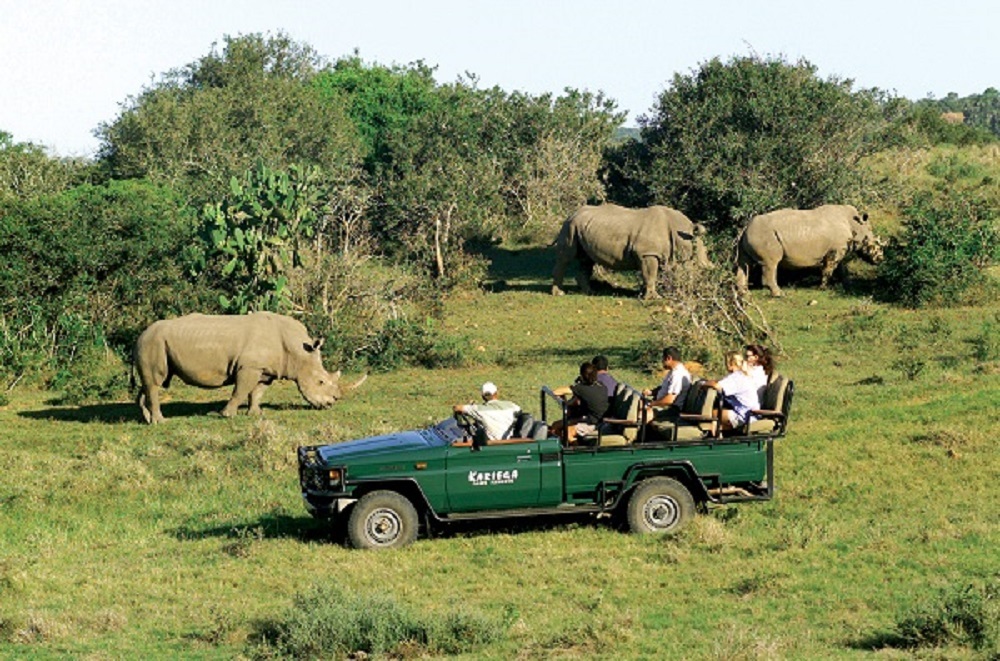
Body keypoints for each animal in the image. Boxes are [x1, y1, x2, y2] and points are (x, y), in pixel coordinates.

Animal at [133, 310, 364, 422]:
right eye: (321, 381)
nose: (331, 403)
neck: (298, 351)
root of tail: (140, 334)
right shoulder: (249, 367)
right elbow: (241, 391)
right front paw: (227, 415)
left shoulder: (265, 370)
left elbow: (257, 393)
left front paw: (255, 414)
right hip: (153, 342)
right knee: (156, 381)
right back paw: (161, 421)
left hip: (152, 342)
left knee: (148, 384)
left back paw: (148, 420)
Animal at [556, 202, 712, 300]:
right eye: (698, 268)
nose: (699, 293)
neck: (680, 234)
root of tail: (572, 213)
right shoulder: (648, 253)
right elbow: (651, 275)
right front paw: (654, 298)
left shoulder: (654, 255)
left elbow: (648, 275)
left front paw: (643, 294)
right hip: (570, 225)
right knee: (566, 257)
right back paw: (559, 293)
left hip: (583, 227)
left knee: (587, 260)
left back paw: (590, 292)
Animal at [736, 205, 884, 298]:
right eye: (872, 244)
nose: (880, 259)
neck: (855, 225)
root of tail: (746, 228)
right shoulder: (835, 250)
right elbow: (828, 269)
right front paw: (822, 288)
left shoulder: (839, 249)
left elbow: (842, 269)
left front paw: (849, 286)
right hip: (766, 236)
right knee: (771, 263)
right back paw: (779, 295)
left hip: (750, 236)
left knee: (744, 264)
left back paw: (745, 294)